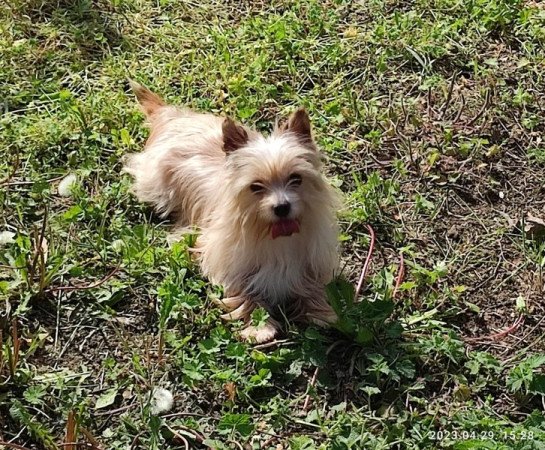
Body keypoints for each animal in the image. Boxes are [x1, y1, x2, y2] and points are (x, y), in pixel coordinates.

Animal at [123, 81, 340, 342]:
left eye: (296, 178)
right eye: (256, 186)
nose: (282, 207)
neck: (272, 234)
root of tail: (172, 116)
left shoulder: (312, 262)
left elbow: (313, 286)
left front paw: (319, 311)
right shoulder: (228, 263)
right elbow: (246, 293)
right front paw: (259, 327)